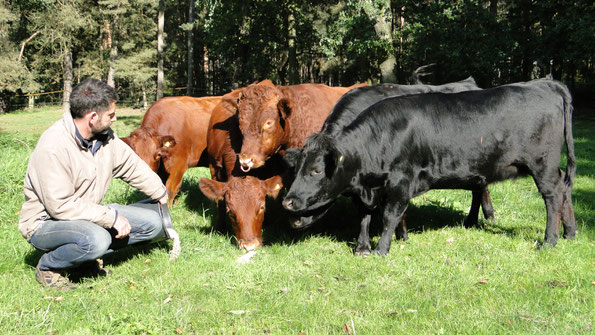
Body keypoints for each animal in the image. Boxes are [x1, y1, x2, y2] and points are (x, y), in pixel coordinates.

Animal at [199, 80, 364, 249]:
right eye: (240, 123)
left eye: (268, 123)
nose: (246, 160)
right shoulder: (215, 169)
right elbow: (219, 201)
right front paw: (219, 227)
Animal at [284, 79, 576, 258]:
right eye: (296, 169)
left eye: (316, 171)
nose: (287, 202)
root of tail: (545, 83)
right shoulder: (369, 188)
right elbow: (366, 215)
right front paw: (364, 246)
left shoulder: (401, 182)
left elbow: (389, 216)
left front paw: (382, 248)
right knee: (562, 188)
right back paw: (570, 232)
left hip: (542, 164)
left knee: (552, 195)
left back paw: (550, 240)